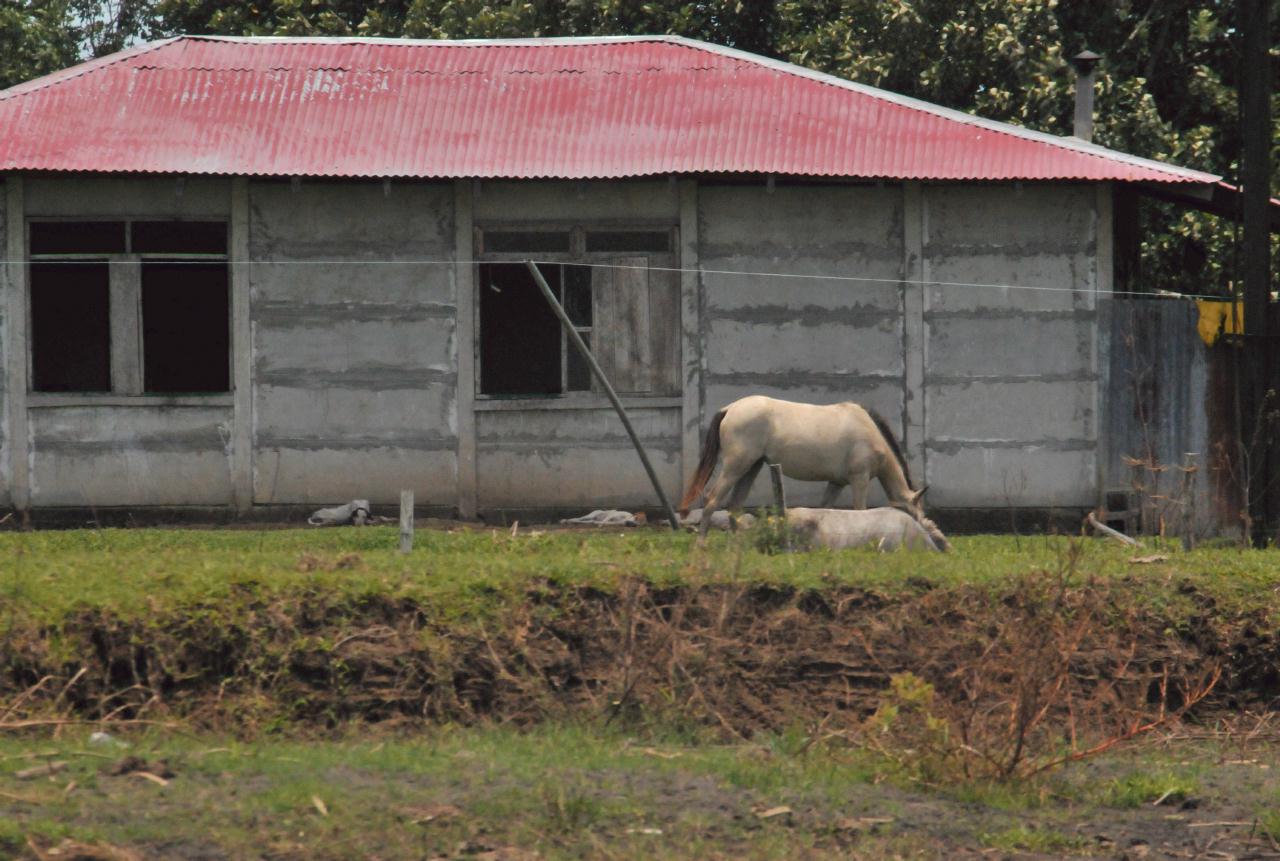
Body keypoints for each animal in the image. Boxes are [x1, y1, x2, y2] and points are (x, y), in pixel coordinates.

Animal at [680, 396, 931, 537]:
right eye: (914, 511)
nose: (925, 530)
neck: (869, 431)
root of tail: (730, 409)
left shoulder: (836, 482)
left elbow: (825, 508)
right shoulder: (859, 479)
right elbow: (859, 511)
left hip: (751, 468)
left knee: (735, 504)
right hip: (736, 467)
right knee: (712, 500)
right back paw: (701, 544)